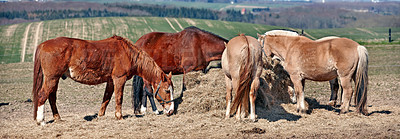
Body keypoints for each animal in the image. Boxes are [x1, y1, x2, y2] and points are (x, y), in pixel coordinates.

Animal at [31, 35, 175, 125]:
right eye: (167, 91)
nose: (171, 111)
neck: (128, 53)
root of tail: (42, 45)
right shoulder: (119, 79)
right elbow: (118, 98)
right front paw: (119, 116)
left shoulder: (110, 81)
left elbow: (106, 97)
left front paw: (100, 115)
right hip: (52, 78)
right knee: (42, 95)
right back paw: (41, 121)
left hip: (55, 79)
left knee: (51, 97)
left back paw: (57, 118)